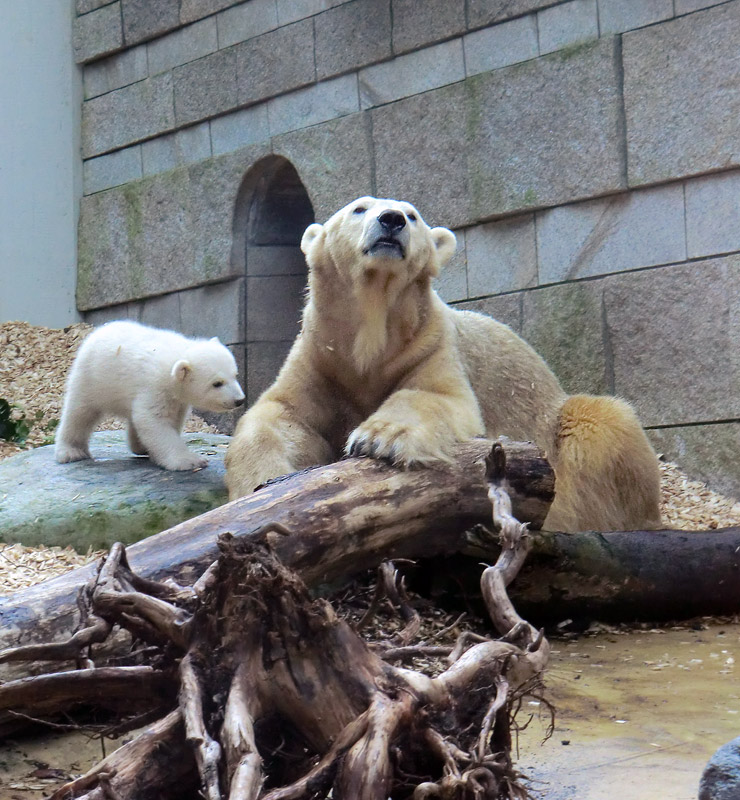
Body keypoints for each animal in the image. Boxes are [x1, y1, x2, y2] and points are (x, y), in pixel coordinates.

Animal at [228, 196, 660, 532]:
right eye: (358, 208)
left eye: (413, 214)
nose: (392, 220)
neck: (370, 338)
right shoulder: (322, 357)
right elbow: (283, 413)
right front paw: (260, 483)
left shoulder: (429, 343)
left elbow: (437, 395)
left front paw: (379, 438)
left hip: (563, 427)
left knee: (602, 422)